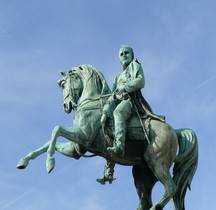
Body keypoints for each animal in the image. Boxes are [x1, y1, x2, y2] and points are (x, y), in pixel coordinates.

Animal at [17, 65, 198, 209]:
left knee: (171, 188)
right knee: (145, 200)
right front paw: (24, 160)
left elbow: (56, 130)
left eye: (63, 83)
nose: (66, 106)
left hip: (157, 163)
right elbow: (49, 142)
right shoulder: (76, 148)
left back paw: (157, 206)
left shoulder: (83, 137)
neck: (91, 102)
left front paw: (49, 163)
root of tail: (174, 131)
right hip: (143, 173)